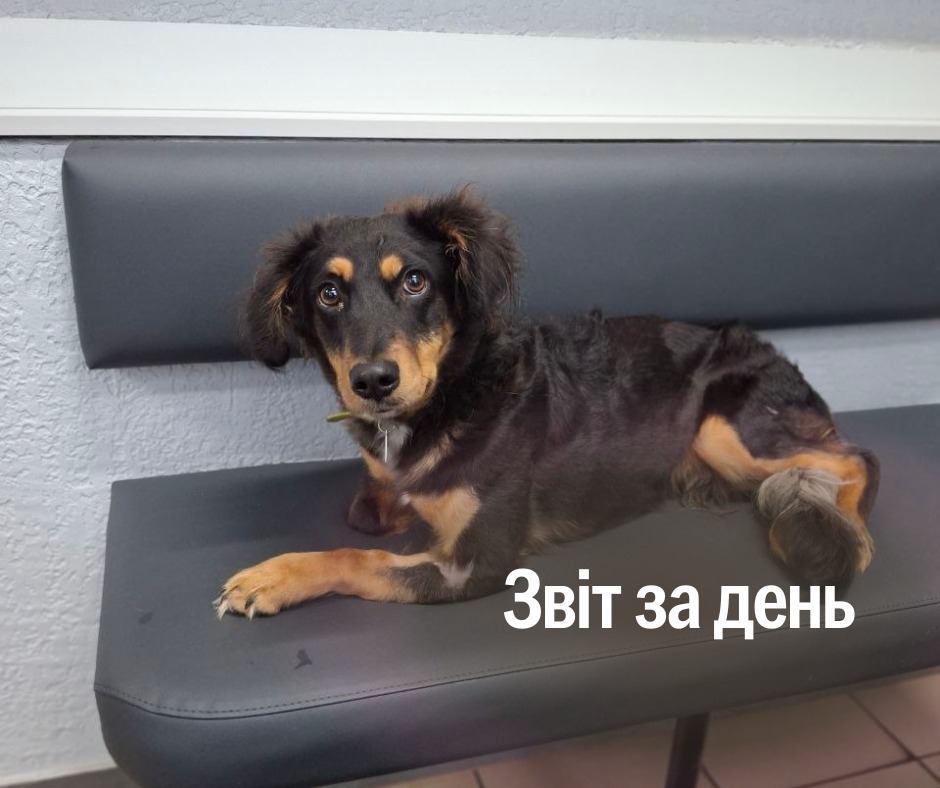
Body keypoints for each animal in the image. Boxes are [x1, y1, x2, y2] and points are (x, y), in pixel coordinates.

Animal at [213, 188, 879, 619]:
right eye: (327, 293)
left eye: (416, 281)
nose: (373, 381)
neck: (454, 391)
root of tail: (763, 343)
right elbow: (368, 513)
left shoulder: (474, 562)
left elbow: (357, 554)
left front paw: (273, 576)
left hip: (723, 428)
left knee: (857, 457)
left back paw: (851, 529)